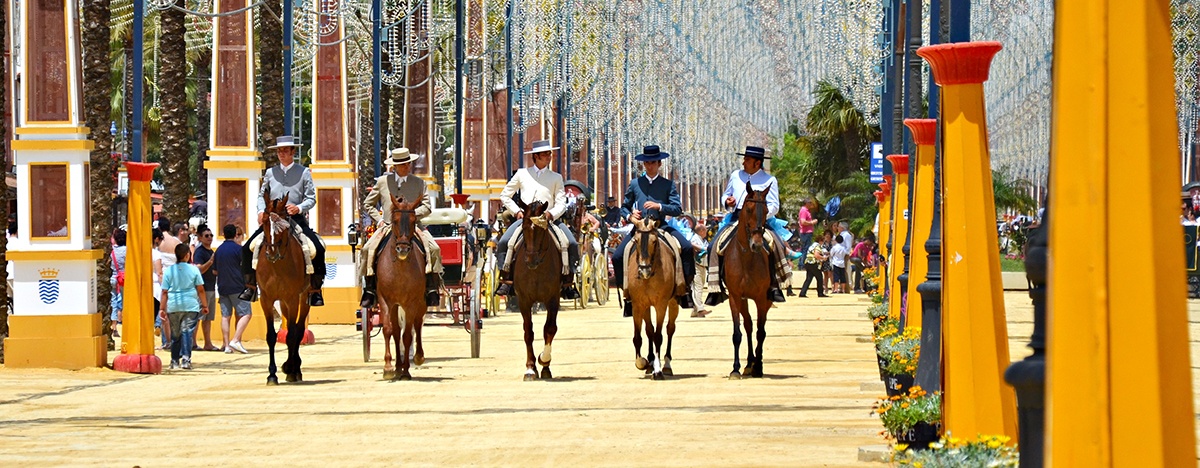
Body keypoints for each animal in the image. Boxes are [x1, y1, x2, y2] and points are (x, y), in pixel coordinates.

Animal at [255, 193, 312, 384]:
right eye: (265, 221)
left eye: (283, 223)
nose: (272, 252)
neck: (277, 265)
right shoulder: (266, 300)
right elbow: (271, 336)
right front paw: (272, 374)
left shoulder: (293, 298)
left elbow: (292, 334)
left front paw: (291, 369)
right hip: (282, 302)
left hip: (304, 297)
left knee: (298, 330)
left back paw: (295, 367)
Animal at [379, 194, 432, 379]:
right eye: (394, 221)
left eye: (413, 221)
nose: (402, 249)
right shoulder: (385, 300)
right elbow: (388, 330)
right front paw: (388, 367)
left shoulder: (412, 302)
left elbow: (408, 334)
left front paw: (406, 370)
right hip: (396, 305)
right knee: (396, 332)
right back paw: (397, 367)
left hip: (421, 303)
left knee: (417, 324)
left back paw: (417, 357)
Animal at [513, 200, 564, 379]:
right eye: (524, 227)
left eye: (542, 230)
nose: (531, 260)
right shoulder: (523, 300)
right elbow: (528, 332)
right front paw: (530, 368)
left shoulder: (553, 299)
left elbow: (550, 329)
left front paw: (544, 361)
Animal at [624, 217, 681, 379]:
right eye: (636, 240)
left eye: (654, 241)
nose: (644, 270)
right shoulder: (638, 305)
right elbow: (638, 336)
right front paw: (642, 363)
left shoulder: (661, 305)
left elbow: (658, 336)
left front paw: (658, 369)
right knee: (649, 329)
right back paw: (649, 362)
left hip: (673, 302)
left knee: (670, 329)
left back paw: (666, 364)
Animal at [715, 181, 772, 379]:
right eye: (748, 209)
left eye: (767, 210)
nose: (757, 244)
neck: (746, 257)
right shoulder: (735, 296)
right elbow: (737, 333)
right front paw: (735, 368)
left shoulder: (761, 298)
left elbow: (761, 332)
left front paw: (759, 366)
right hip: (743, 299)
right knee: (747, 324)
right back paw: (748, 364)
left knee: (755, 327)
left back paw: (754, 364)